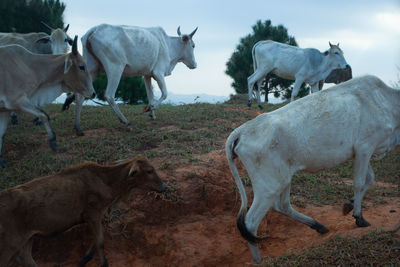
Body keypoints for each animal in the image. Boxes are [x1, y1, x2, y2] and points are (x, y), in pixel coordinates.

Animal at [0, 156, 166, 266]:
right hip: (9, 245)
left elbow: (97, 238)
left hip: (26, 240)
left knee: (27, 260)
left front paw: (85, 258)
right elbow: (100, 240)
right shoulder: (93, 214)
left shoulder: (96, 216)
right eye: (149, 171)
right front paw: (103, 263)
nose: (164, 187)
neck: (106, 181)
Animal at [227, 75, 398, 264]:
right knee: (251, 222)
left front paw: (349, 204)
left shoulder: (362, 152)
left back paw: (319, 226)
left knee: (282, 206)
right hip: (269, 187)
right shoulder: (365, 147)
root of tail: (242, 130)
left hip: (283, 178)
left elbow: (370, 179)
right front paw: (359, 217)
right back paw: (259, 261)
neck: (386, 99)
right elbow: (360, 183)